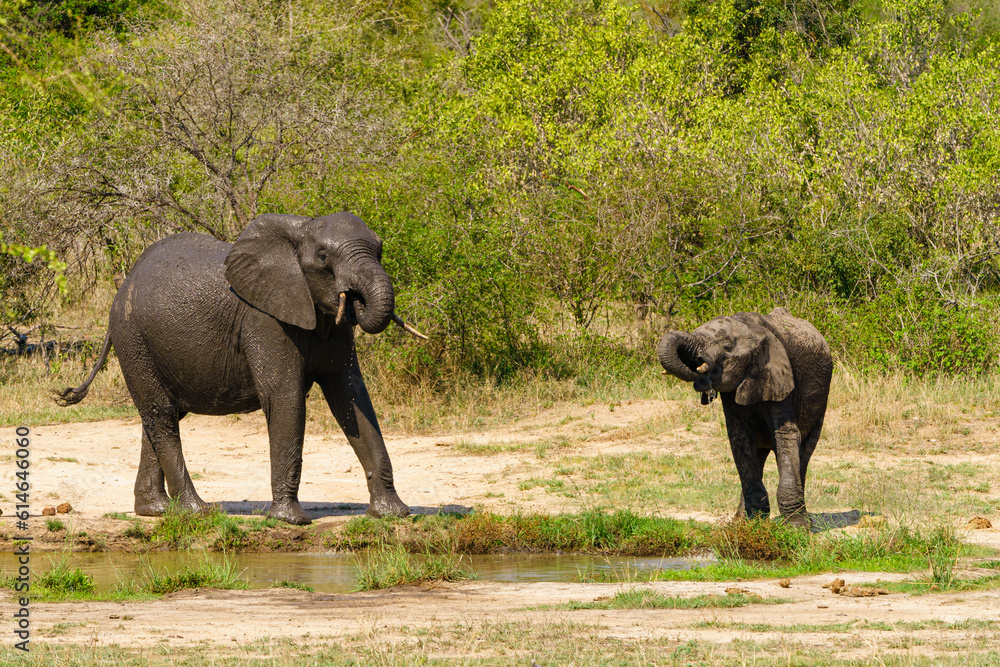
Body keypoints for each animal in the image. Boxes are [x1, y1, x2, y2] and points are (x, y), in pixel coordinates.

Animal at [56, 212, 426, 525]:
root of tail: (123, 286)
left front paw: (394, 514)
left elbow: (351, 396)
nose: (355, 300)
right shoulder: (264, 319)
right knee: (161, 415)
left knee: (161, 414)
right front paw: (291, 520)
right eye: (323, 258)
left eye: (380, 250)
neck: (301, 229)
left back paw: (156, 510)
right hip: (133, 338)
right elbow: (285, 397)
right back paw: (196, 511)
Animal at [657, 307, 832, 529]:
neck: (755, 331)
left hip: (822, 402)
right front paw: (751, 524)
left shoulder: (782, 378)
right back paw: (739, 520)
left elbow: (785, 434)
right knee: (758, 455)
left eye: (726, 347)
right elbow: (739, 439)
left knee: (803, 452)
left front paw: (796, 528)